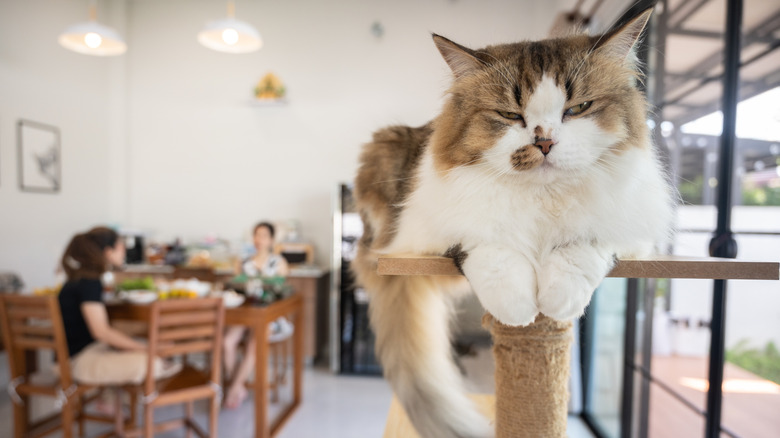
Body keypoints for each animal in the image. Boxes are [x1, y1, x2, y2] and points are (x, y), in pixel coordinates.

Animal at [350, 7, 672, 438]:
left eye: (578, 108)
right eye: (509, 115)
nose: (544, 142)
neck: (541, 200)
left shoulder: (632, 235)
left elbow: (582, 245)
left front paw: (558, 298)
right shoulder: (425, 236)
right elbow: (491, 251)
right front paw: (518, 308)